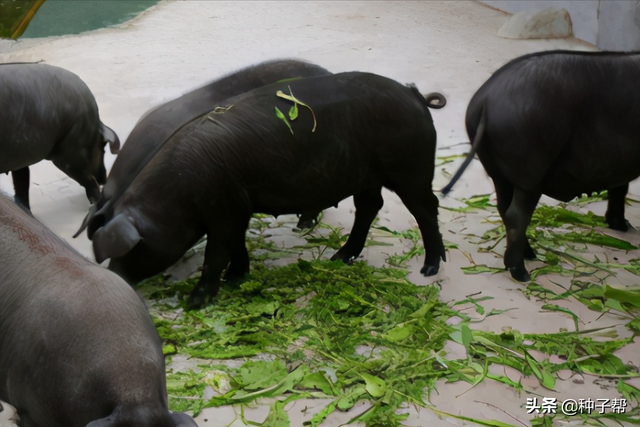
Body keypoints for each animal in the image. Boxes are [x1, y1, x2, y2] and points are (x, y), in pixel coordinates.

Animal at [0, 61, 120, 212]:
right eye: (103, 147)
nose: (105, 179)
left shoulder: (21, 155)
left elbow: (22, 182)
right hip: (69, 155)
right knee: (89, 181)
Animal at [92, 72, 448, 308]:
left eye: (131, 250)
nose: (116, 278)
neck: (176, 196)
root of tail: (415, 96)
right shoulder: (236, 209)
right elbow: (235, 247)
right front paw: (237, 279)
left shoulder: (224, 210)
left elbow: (215, 254)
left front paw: (195, 302)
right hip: (366, 175)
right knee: (370, 205)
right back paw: (340, 257)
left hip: (411, 167)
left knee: (426, 207)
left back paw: (429, 268)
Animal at [442, 50, 640, 282]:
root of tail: (486, 102)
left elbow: (620, 189)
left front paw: (621, 226)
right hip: (530, 171)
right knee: (516, 216)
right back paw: (522, 273)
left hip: (498, 172)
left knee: (503, 208)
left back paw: (530, 255)